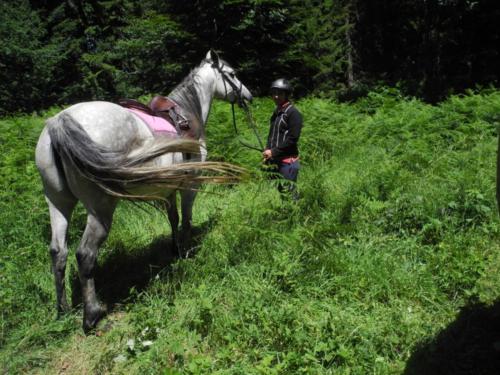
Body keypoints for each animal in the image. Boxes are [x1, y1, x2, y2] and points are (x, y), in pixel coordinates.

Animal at [35, 50, 252, 332]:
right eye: (233, 74)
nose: (248, 95)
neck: (187, 113)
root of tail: (59, 122)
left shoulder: (168, 189)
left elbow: (173, 218)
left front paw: (175, 249)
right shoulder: (190, 184)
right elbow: (187, 218)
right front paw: (186, 250)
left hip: (58, 202)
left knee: (58, 252)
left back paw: (62, 310)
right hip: (100, 208)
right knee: (85, 254)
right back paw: (91, 315)